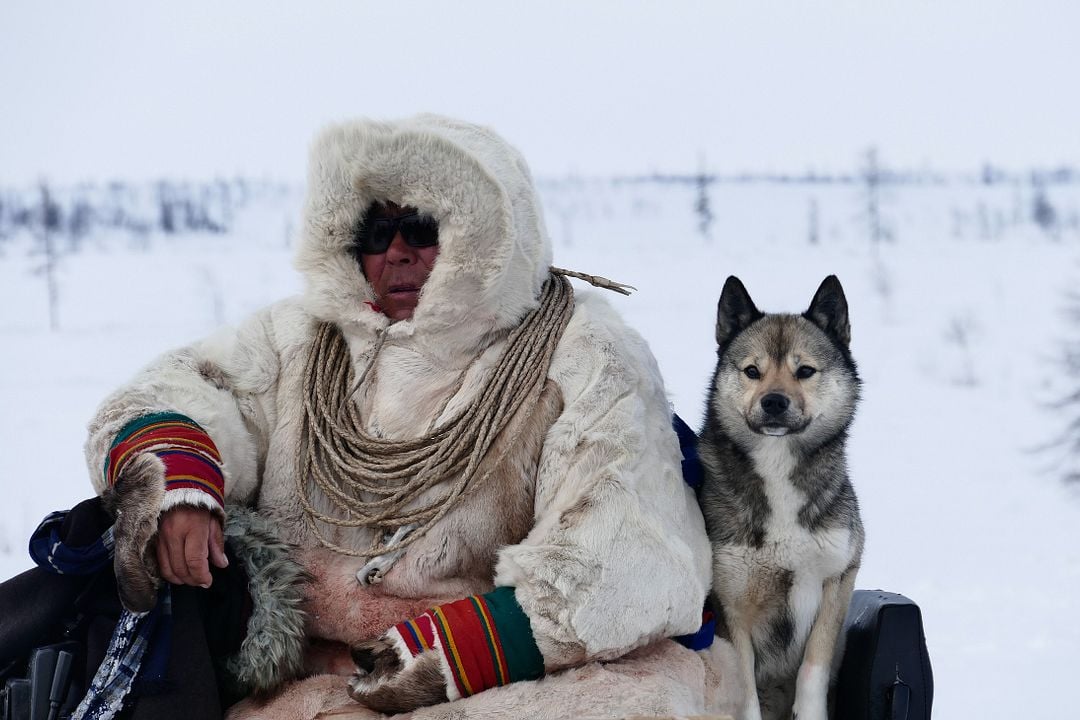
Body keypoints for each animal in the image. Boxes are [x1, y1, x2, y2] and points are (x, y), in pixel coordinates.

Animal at [695, 276, 864, 720]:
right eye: (752, 371)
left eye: (804, 371)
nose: (773, 402)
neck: (778, 466)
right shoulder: (731, 605)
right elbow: (744, 691)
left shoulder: (838, 576)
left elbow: (813, 669)